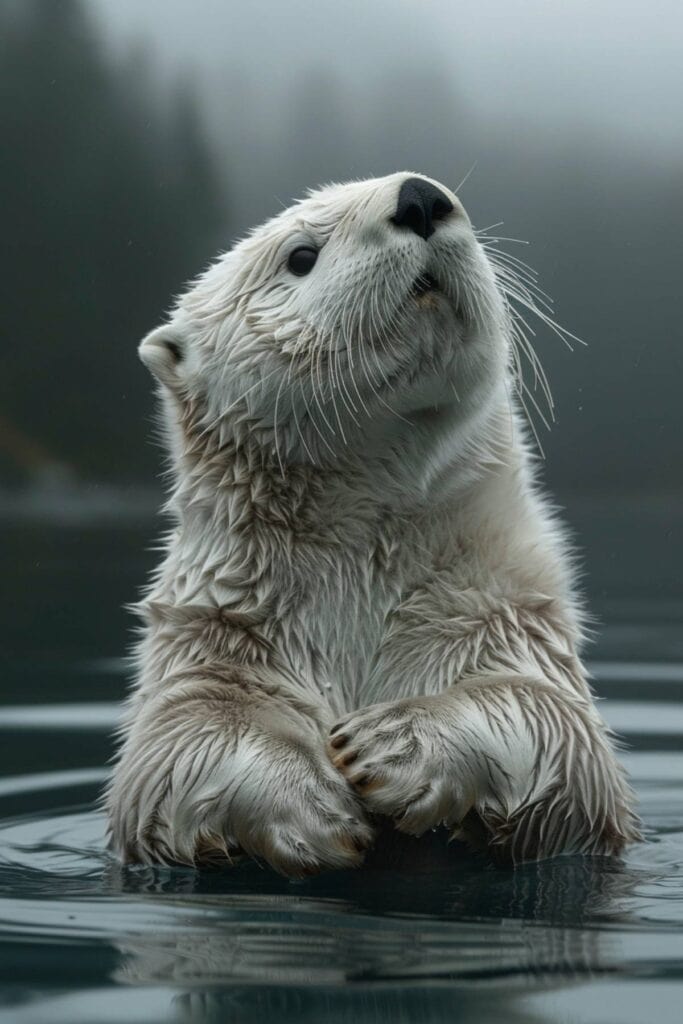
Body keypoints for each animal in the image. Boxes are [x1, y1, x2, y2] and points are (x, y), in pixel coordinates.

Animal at [107, 172, 643, 876]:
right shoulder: (213, 634)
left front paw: (390, 744)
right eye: (300, 255)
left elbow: (556, 729)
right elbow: (179, 746)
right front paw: (313, 801)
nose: (419, 198)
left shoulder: (504, 614)